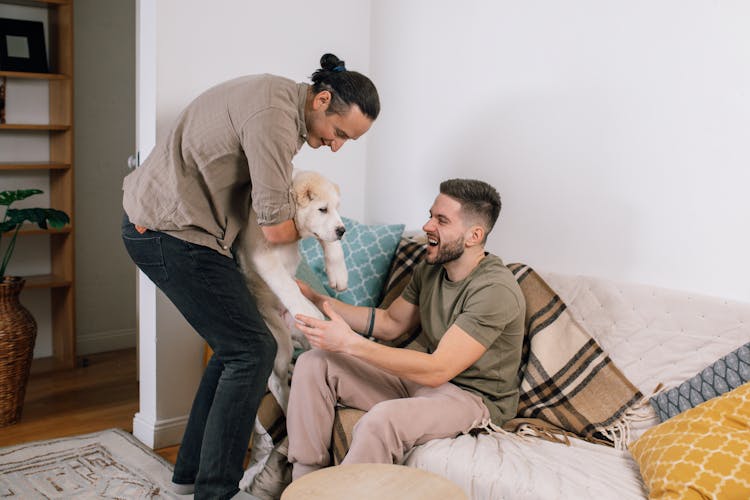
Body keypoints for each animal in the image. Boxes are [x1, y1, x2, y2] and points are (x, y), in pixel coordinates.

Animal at [235, 170, 350, 412]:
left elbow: (332, 245)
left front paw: (339, 276)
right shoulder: (262, 253)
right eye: (322, 209)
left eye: (337, 208)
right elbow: (285, 284)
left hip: (306, 337)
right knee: (276, 382)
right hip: (279, 341)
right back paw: (288, 407)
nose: (342, 230)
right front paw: (307, 309)